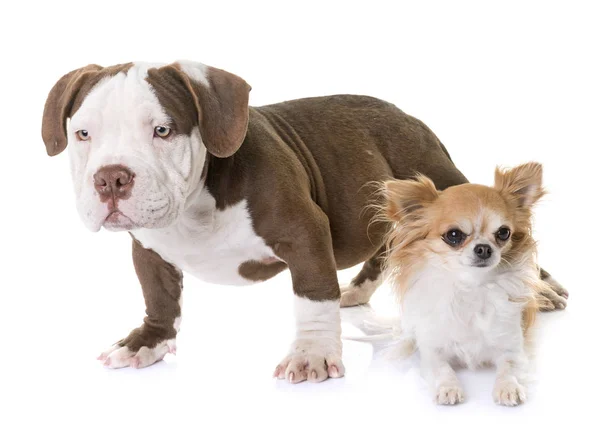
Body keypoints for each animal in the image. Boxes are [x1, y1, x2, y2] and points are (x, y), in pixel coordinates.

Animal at [384, 163, 548, 404]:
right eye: (454, 235)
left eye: (504, 233)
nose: (484, 248)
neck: (471, 287)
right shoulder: (433, 350)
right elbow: (442, 368)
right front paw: (448, 388)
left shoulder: (512, 348)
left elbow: (509, 367)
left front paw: (508, 387)